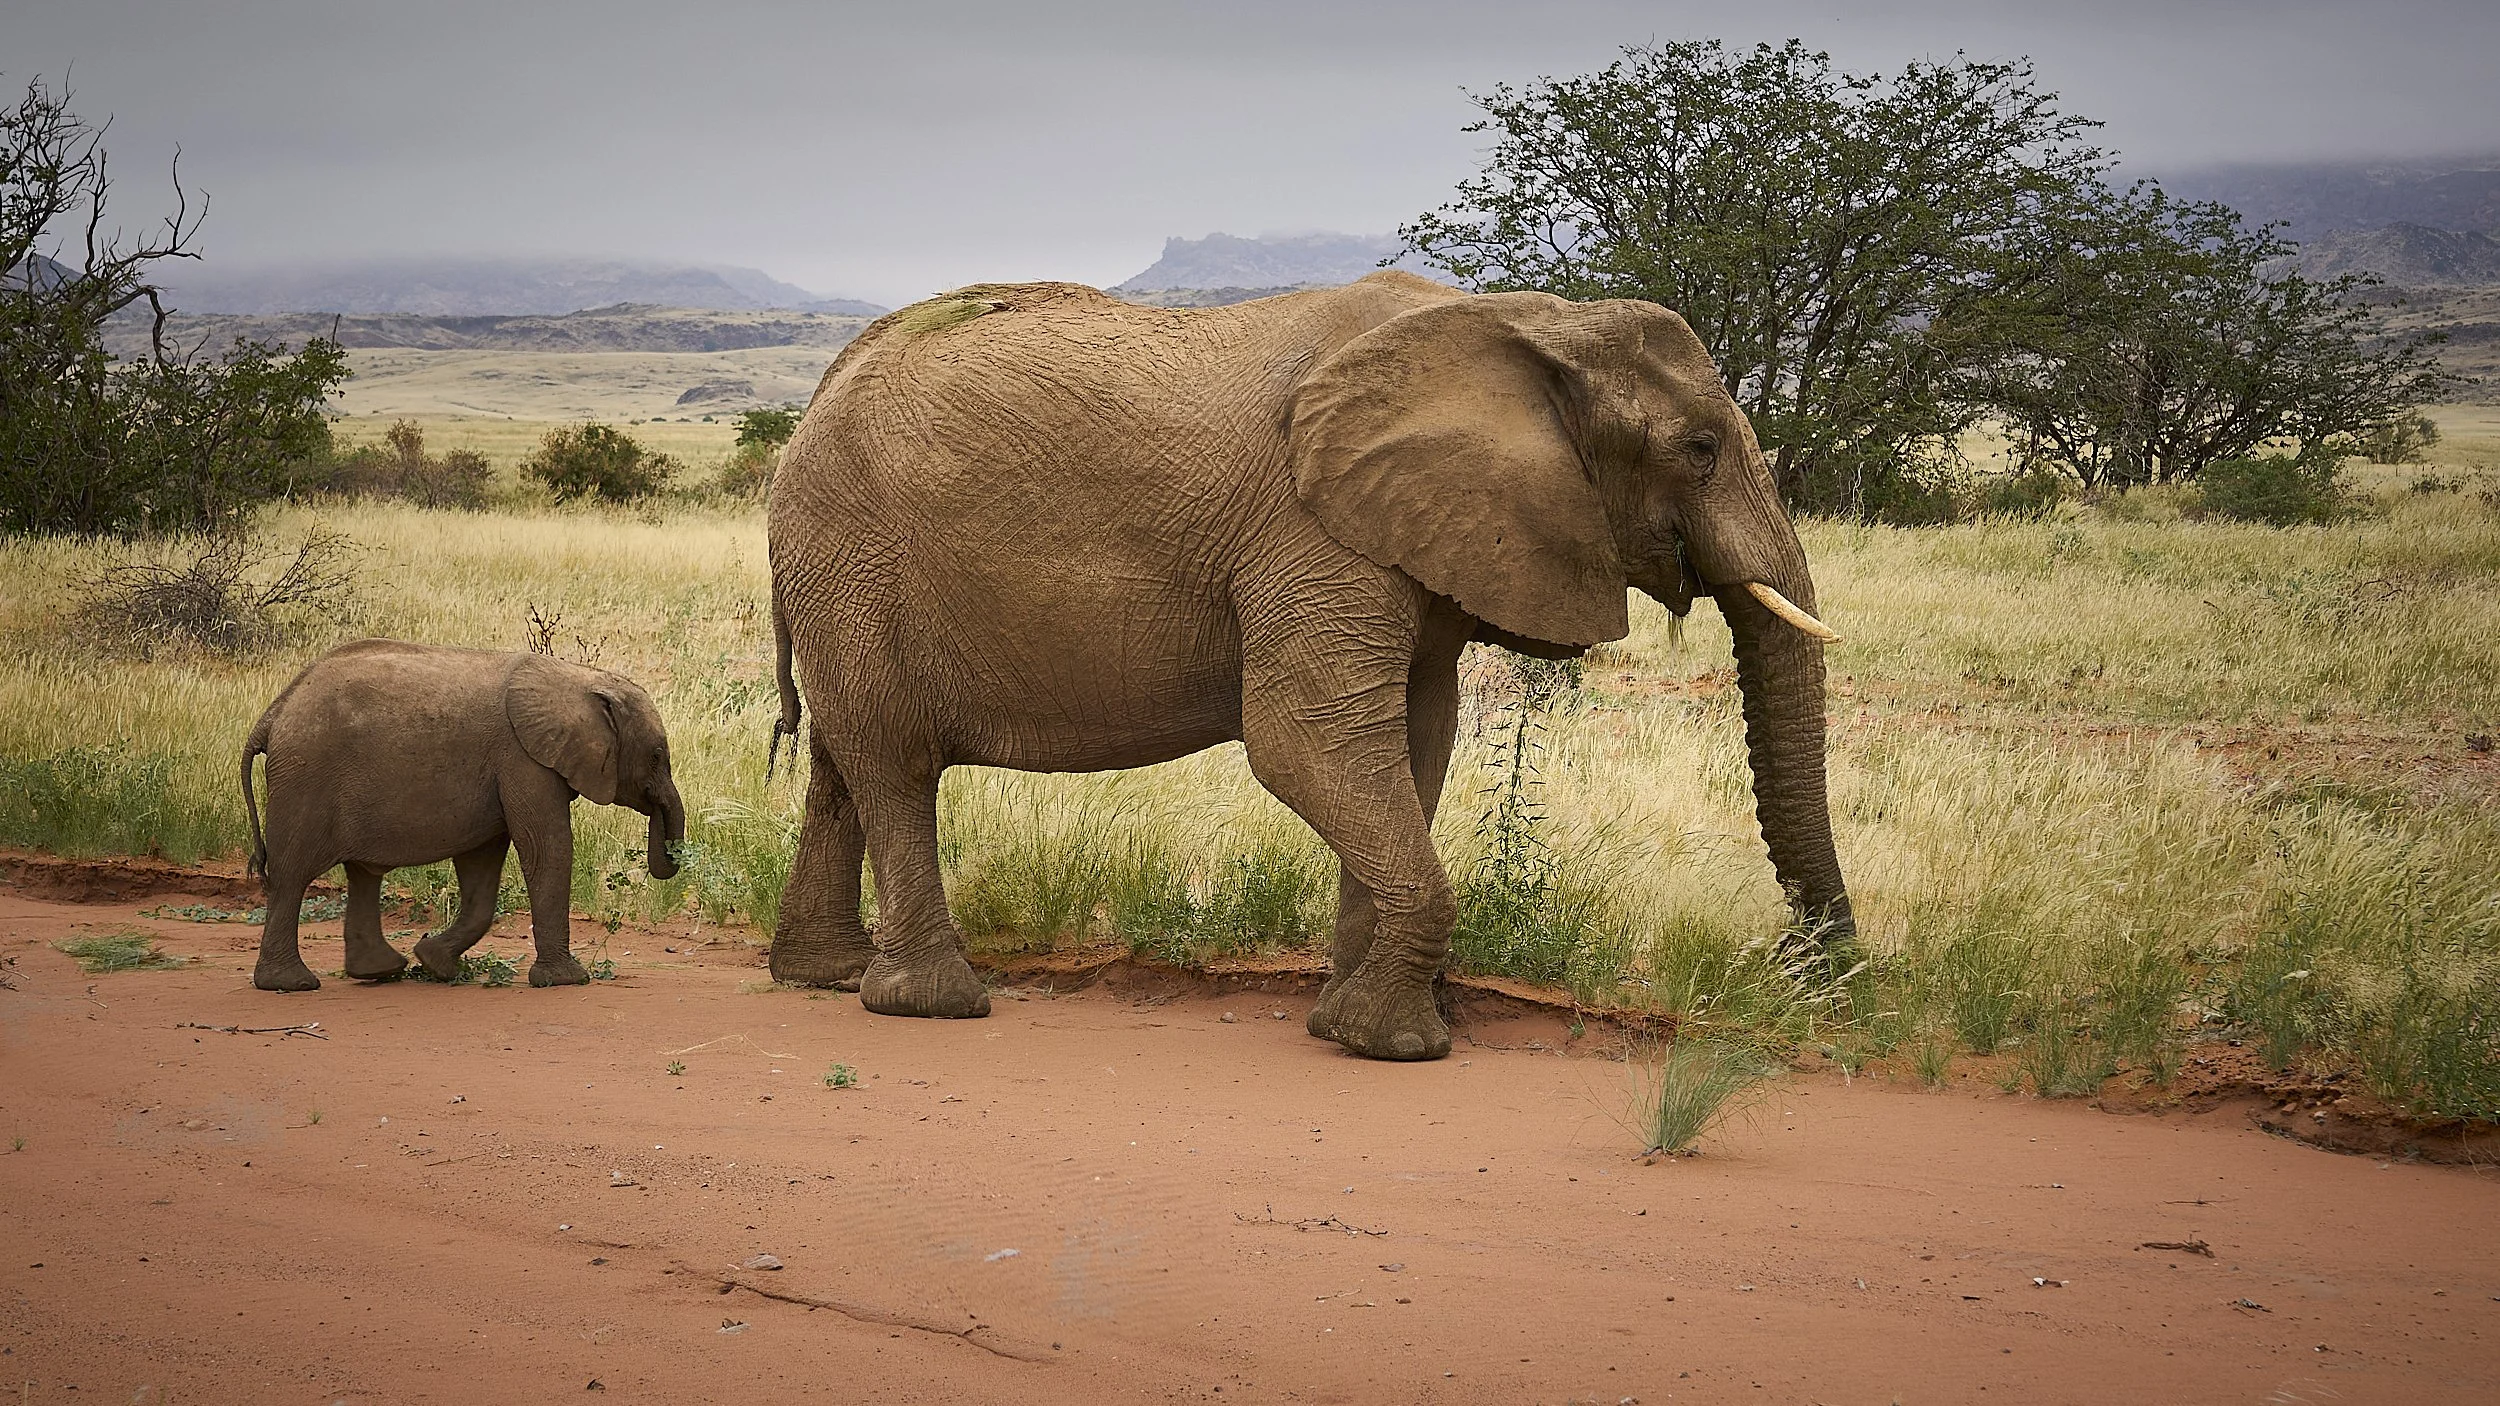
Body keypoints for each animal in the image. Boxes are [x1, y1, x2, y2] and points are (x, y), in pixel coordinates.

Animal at [239, 638, 685, 992]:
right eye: (656, 756)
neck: (575, 678)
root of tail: (272, 715)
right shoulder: (522, 759)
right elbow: (546, 849)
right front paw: (567, 981)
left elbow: (481, 866)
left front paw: (436, 963)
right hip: (306, 780)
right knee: (293, 876)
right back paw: (291, 984)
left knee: (361, 875)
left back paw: (381, 971)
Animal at [764, 271, 1851, 1060]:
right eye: (1700, 447)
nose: (1809, 963)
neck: (1533, 321)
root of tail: (822, 388)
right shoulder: (1314, 531)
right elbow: (1308, 744)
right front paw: (1392, 1044)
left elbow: (1415, 745)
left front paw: (1350, 1017)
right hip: (852, 552)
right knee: (894, 761)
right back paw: (932, 1004)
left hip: (836, 570)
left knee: (842, 761)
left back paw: (824, 976)